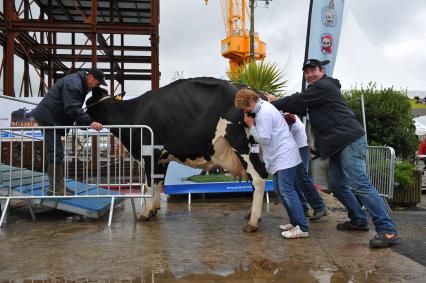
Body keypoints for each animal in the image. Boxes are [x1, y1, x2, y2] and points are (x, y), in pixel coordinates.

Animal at [85, 77, 268, 233]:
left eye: (87, 102)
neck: (131, 115)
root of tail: (256, 92)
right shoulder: (162, 159)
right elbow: (158, 183)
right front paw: (154, 210)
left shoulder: (149, 154)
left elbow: (148, 185)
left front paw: (145, 213)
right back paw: (253, 216)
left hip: (242, 146)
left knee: (258, 178)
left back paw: (252, 222)